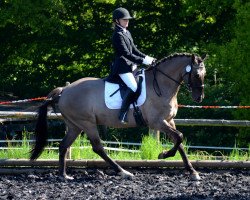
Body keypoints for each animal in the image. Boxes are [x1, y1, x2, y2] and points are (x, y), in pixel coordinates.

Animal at [30, 52, 207, 180]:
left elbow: (180, 141)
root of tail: (64, 90)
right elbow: (179, 137)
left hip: (75, 126)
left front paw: (192, 171)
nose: (199, 98)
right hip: (87, 123)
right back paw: (123, 171)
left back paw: (64, 175)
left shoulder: (169, 121)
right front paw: (163, 155)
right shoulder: (157, 122)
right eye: (197, 75)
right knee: (98, 147)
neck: (162, 85)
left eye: (204, 74)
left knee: (63, 146)